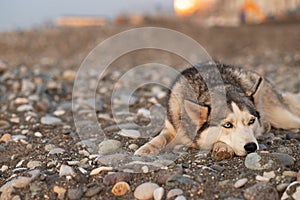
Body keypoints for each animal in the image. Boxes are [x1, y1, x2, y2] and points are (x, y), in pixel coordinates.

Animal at [135, 61, 300, 160]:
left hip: (282, 116)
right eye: (227, 125)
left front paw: (221, 147)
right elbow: (159, 138)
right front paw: (146, 149)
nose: (251, 147)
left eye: (251, 121)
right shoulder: (171, 128)